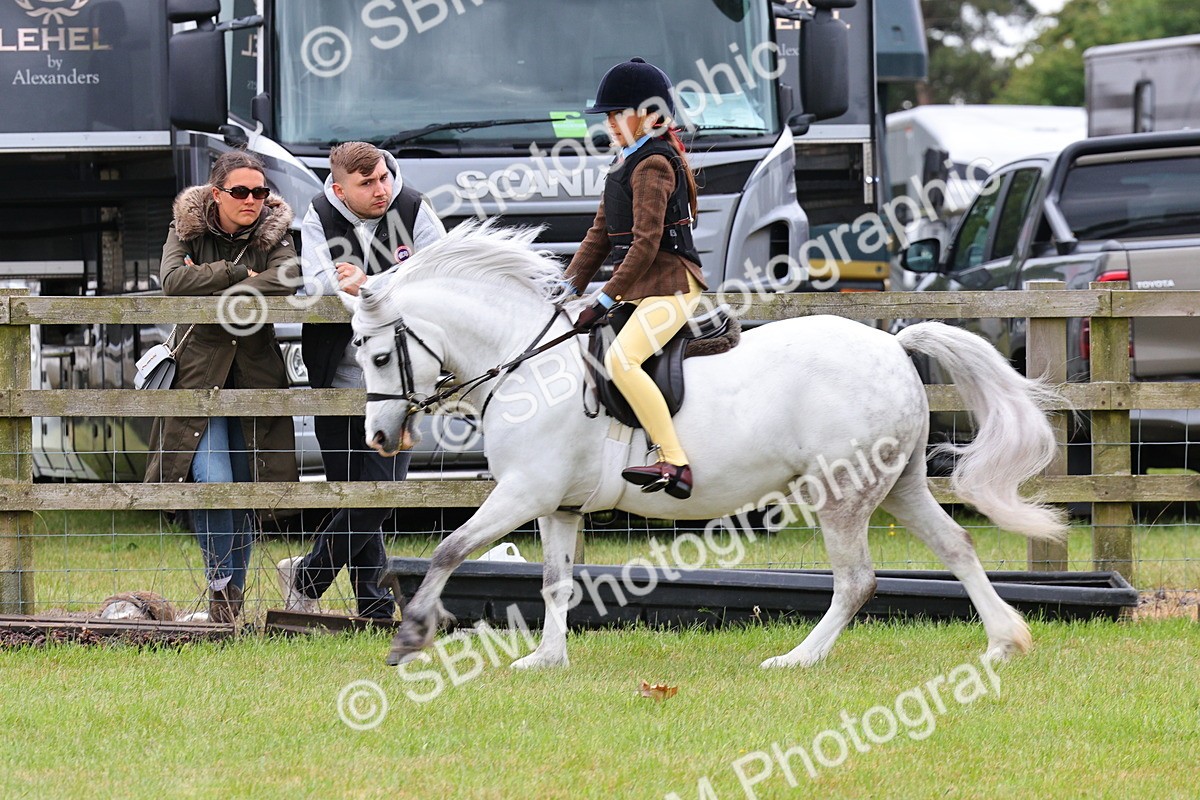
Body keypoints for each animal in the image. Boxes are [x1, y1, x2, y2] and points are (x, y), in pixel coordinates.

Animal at [352, 222, 1066, 669]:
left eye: (382, 355)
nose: (380, 437)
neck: (528, 361)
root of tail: (893, 345)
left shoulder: (524, 491)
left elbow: (449, 549)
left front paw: (410, 636)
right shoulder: (557, 504)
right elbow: (555, 583)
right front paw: (547, 658)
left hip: (840, 490)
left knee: (856, 579)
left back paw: (798, 658)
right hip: (897, 484)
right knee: (957, 545)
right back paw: (1004, 641)